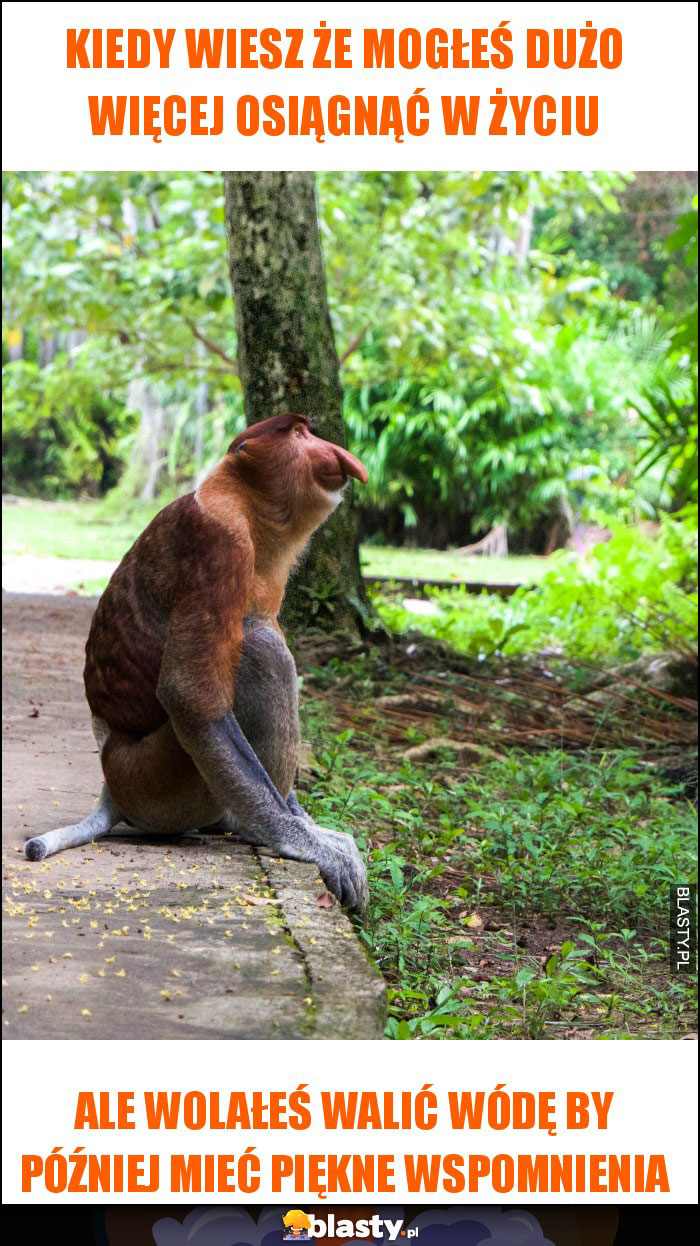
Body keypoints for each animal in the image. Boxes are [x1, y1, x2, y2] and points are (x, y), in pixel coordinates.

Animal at [23, 413, 366, 912]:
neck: (247, 505)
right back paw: (248, 827)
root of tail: (111, 780)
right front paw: (311, 844)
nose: (332, 448)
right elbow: (190, 696)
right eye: (299, 434)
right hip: (157, 781)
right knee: (262, 649)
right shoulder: (218, 542)